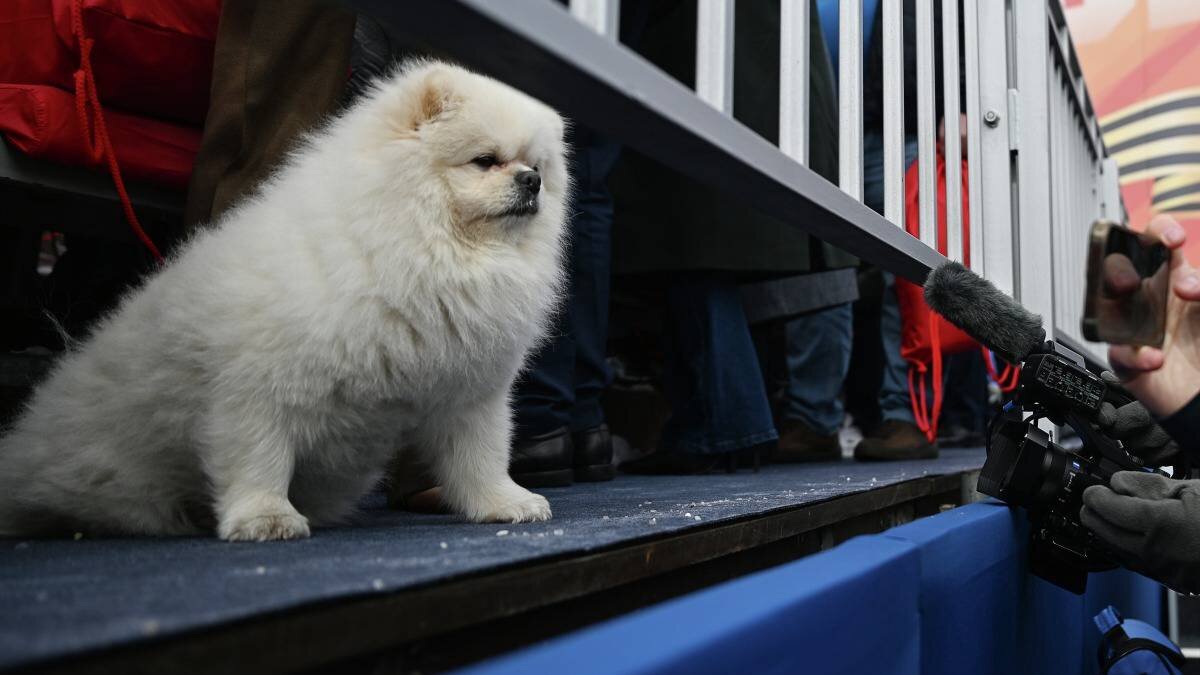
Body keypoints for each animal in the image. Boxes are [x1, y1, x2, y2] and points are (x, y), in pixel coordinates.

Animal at [0, 60, 568, 538]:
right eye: (485, 161)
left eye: (536, 165)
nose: (531, 181)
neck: (421, 243)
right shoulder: (258, 387)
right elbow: (259, 458)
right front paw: (265, 517)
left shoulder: (470, 391)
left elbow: (482, 458)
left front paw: (504, 503)